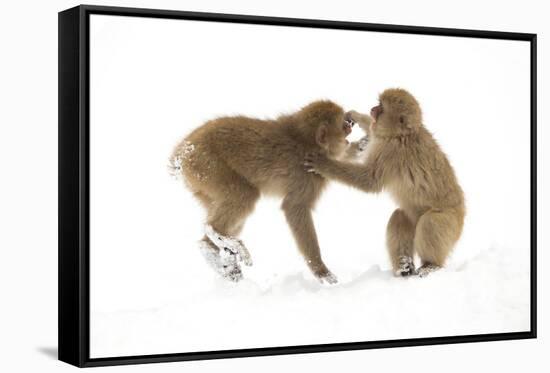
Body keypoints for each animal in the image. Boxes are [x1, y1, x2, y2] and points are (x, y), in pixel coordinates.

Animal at [170, 100, 358, 284]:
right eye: (343, 126)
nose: (350, 123)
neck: (305, 141)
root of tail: (181, 153)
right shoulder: (306, 176)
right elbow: (295, 207)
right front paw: (320, 270)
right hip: (206, 166)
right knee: (245, 195)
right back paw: (215, 232)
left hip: (200, 182)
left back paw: (212, 250)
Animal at [306, 88, 466, 276]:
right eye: (378, 104)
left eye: (381, 108)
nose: (372, 109)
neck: (402, 134)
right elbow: (372, 132)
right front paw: (355, 115)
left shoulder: (391, 152)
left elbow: (370, 180)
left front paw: (324, 164)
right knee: (400, 216)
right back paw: (404, 267)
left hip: (451, 222)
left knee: (431, 222)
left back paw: (431, 264)